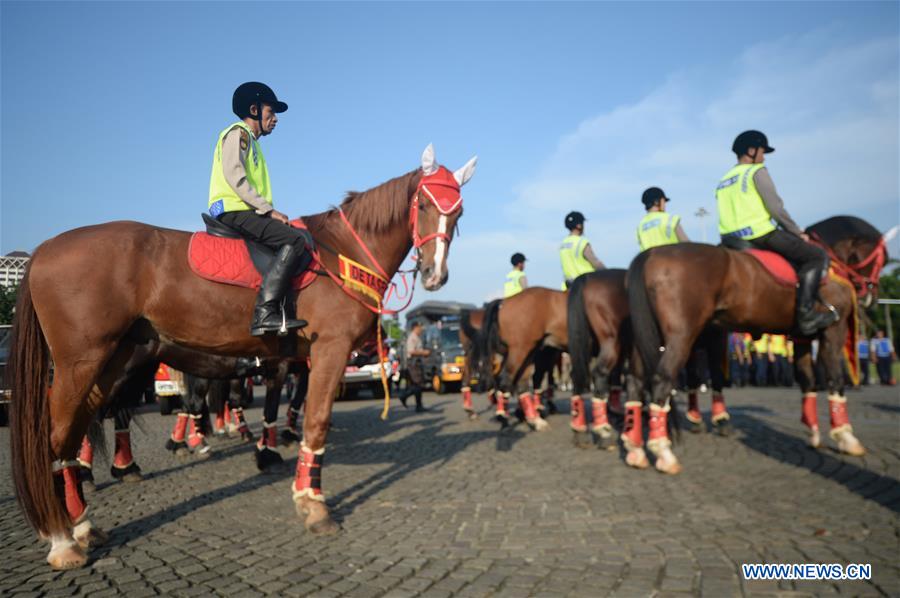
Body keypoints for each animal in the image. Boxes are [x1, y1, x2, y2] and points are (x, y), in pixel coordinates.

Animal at [8, 145, 478, 572]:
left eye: (457, 212)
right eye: (423, 204)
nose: (435, 275)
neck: (341, 254)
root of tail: (44, 248)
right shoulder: (326, 351)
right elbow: (314, 421)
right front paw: (313, 505)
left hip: (112, 361)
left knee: (73, 434)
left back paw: (82, 524)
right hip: (82, 363)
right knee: (58, 434)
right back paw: (63, 538)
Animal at [624, 216, 884, 474]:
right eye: (881, 260)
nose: (870, 297)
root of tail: (651, 254)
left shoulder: (801, 338)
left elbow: (807, 381)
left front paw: (813, 433)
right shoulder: (833, 331)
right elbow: (835, 379)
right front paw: (846, 438)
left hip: (648, 339)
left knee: (636, 382)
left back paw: (635, 448)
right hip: (681, 337)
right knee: (663, 380)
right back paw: (663, 452)